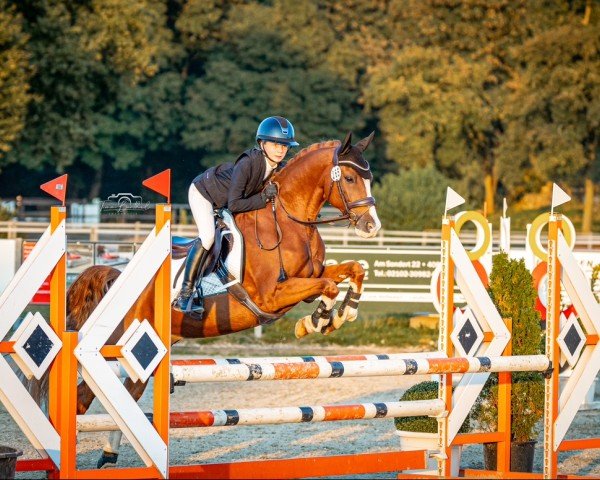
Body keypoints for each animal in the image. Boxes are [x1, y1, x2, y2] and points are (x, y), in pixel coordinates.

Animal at [64, 131, 380, 464]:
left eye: (369, 179)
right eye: (349, 178)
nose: (372, 226)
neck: (287, 219)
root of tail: (116, 279)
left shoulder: (310, 278)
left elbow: (353, 270)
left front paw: (343, 314)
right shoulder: (272, 296)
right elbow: (328, 287)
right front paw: (316, 321)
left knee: (125, 394)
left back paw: (109, 454)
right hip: (111, 347)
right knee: (84, 398)